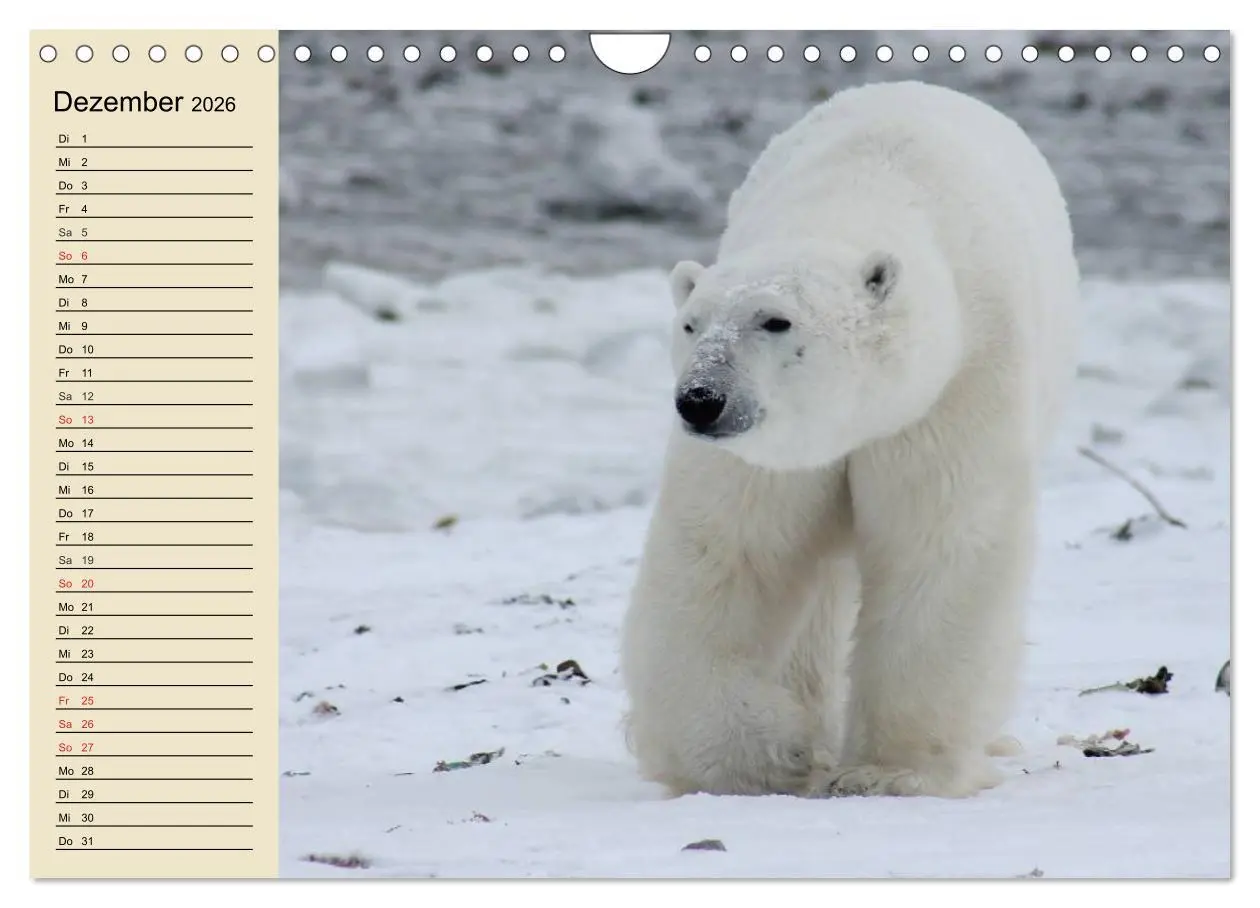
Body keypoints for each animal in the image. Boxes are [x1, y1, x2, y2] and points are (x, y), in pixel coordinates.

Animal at [619, 80, 1079, 799]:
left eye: (775, 321)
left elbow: (939, 545)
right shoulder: (771, 454)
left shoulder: (956, 385)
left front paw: (891, 771)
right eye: (692, 324)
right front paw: (765, 752)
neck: (862, 190)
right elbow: (730, 550)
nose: (700, 400)